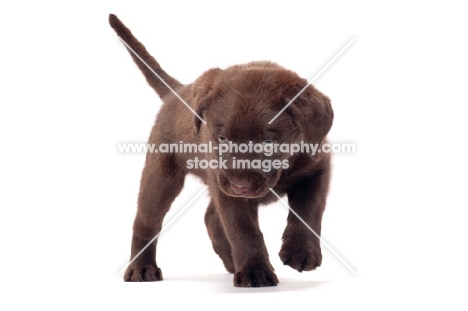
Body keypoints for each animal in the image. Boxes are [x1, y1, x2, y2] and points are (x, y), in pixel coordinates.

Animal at [109, 14, 334, 288]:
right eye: (222, 138)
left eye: (268, 143)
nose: (240, 186)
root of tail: (178, 92)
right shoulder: (227, 189)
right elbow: (244, 230)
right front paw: (255, 272)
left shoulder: (318, 166)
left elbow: (309, 209)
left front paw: (301, 252)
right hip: (161, 176)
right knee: (146, 221)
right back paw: (142, 269)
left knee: (211, 218)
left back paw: (230, 261)